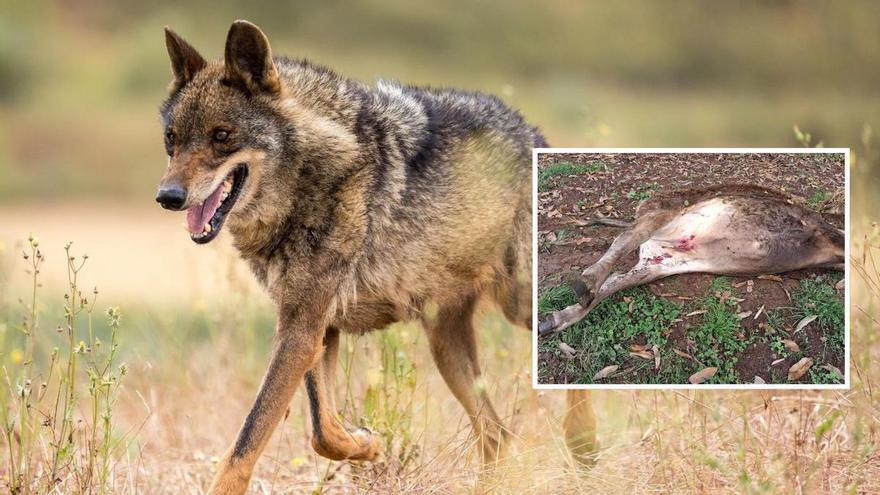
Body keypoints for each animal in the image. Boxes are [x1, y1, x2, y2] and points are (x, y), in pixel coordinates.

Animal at [156, 20, 595, 493]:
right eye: (171, 139)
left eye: (221, 136)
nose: (167, 197)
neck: (312, 177)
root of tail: (532, 131)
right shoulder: (311, 324)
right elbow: (323, 431)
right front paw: (366, 444)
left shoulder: (303, 329)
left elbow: (247, 442)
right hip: (446, 346)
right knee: (496, 433)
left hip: (517, 307)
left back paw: (583, 437)